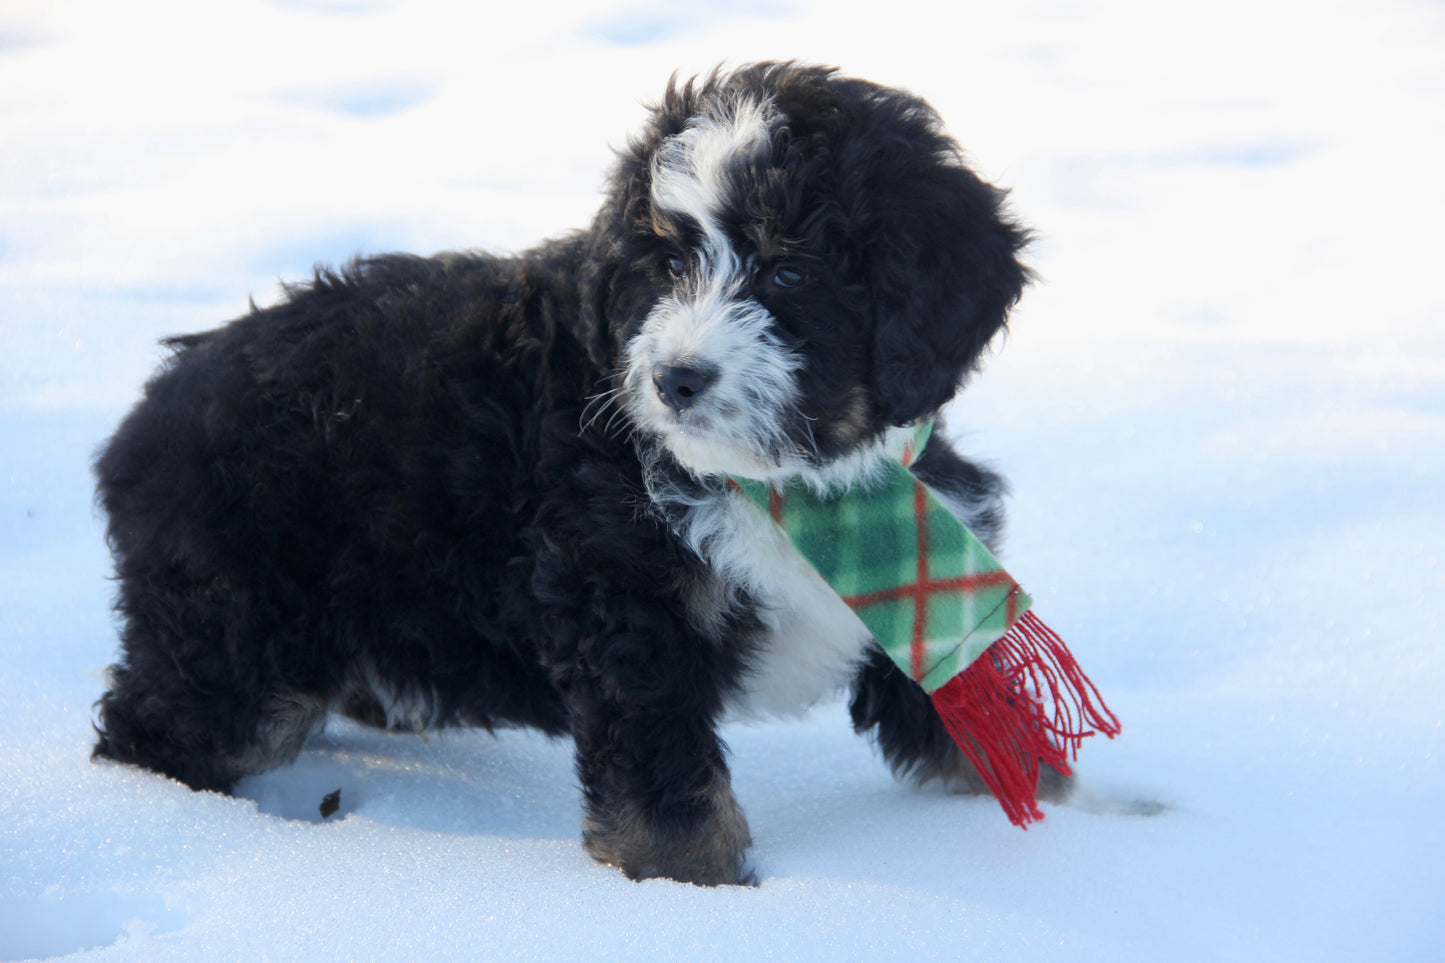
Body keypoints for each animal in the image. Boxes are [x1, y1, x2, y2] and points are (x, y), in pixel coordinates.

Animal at [90, 61, 1034, 884]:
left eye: (790, 269)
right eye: (669, 263)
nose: (674, 379)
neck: (792, 486)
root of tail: (152, 405)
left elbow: (967, 709)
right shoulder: (626, 611)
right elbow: (669, 788)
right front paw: (695, 889)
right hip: (232, 623)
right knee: (156, 730)